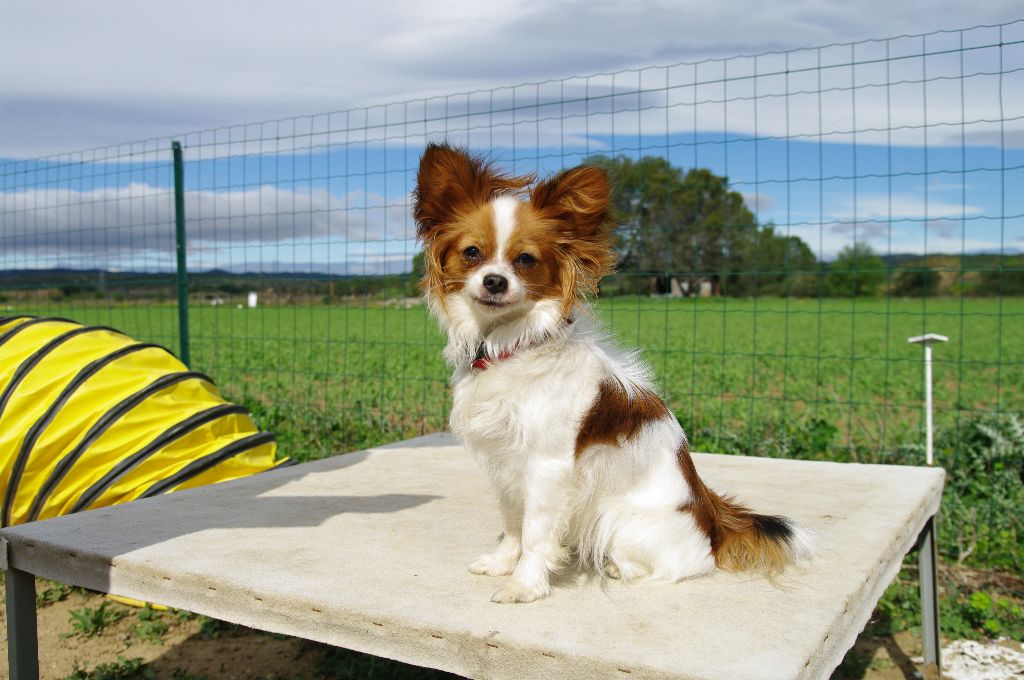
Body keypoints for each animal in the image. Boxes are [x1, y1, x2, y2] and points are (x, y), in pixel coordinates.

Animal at [411, 142, 811, 602]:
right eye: (472, 253)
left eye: (525, 260)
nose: (494, 281)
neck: (507, 346)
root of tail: (711, 520)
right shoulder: (506, 464)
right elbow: (513, 523)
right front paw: (501, 564)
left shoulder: (546, 466)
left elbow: (535, 533)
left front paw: (526, 585)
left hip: (616, 519)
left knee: (677, 568)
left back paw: (616, 568)